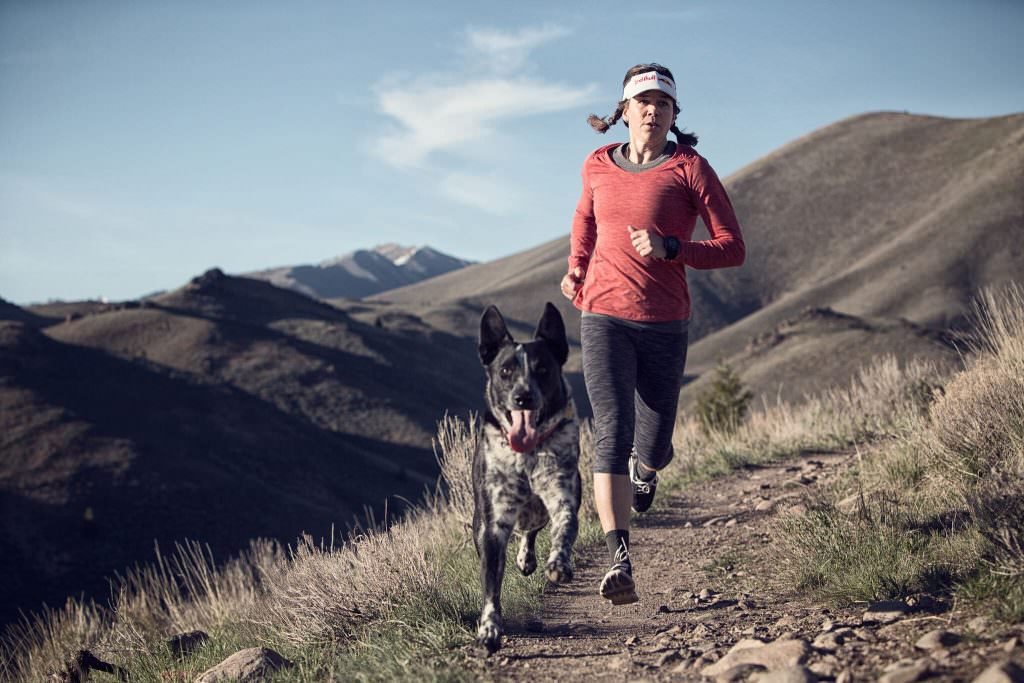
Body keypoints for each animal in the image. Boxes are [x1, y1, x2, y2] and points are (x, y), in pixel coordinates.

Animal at [468, 301, 581, 655]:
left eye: (542, 369)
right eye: (505, 371)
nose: (523, 397)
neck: (527, 456)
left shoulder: (562, 495)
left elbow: (564, 529)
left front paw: (558, 564)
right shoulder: (493, 525)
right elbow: (491, 587)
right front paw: (489, 628)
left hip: (539, 511)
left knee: (531, 530)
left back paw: (528, 559)